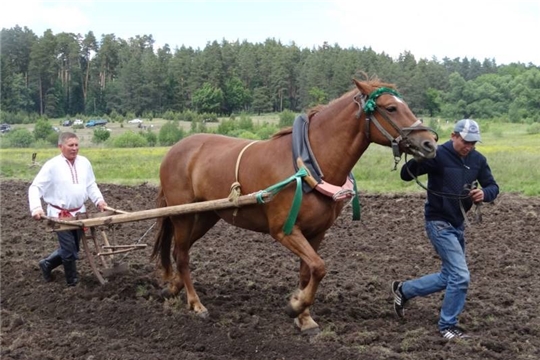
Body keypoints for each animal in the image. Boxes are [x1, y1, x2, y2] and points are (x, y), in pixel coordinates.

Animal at [152, 76, 438, 334]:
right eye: (391, 108)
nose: (430, 143)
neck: (308, 164)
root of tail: (174, 149)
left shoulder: (316, 232)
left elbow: (309, 272)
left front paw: (304, 318)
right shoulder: (284, 230)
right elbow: (320, 267)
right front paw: (295, 305)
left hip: (206, 215)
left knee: (179, 250)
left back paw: (173, 287)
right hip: (182, 215)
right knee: (183, 255)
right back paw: (196, 303)